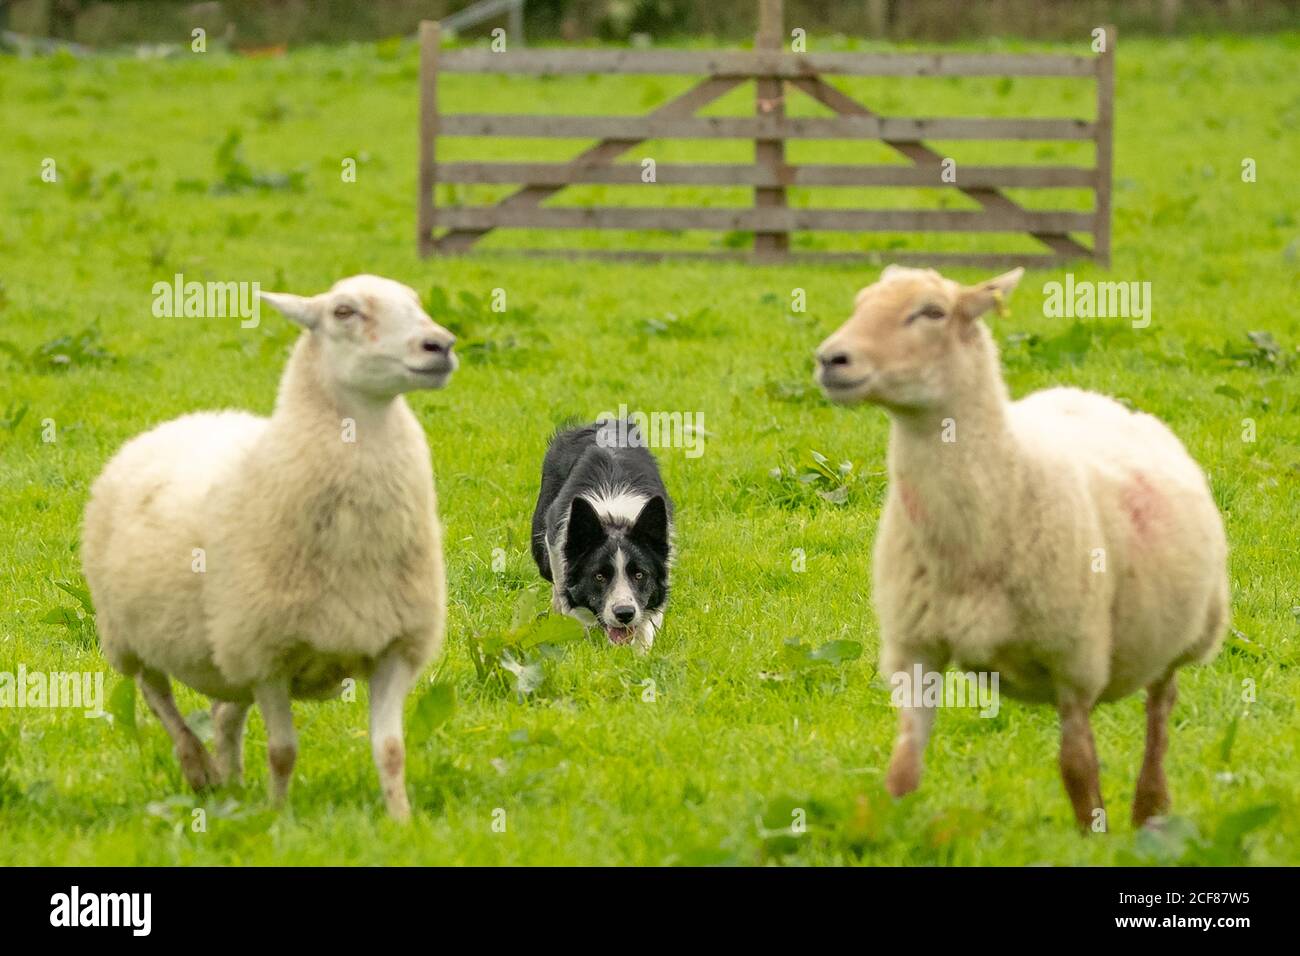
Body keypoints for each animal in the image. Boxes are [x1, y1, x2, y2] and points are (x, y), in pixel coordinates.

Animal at [81, 274, 457, 822]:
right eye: (344, 312)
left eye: (416, 303)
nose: (441, 346)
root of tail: (178, 422)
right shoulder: (266, 654)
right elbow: (283, 752)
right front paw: (279, 820)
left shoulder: (394, 646)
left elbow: (391, 750)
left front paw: (402, 823)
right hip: (130, 636)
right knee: (158, 698)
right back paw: (198, 769)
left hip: (223, 649)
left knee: (223, 712)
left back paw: (231, 783)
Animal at [811, 264, 1227, 832]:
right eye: (860, 303)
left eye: (932, 312)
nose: (831, 359)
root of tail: (1095, 397)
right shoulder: (913, 650)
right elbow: (902, 772)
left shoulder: (1074, 662)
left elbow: (1078, 773)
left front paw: (1093, 839)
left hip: (1182, 633)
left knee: (1160, 713)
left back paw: (1150, 811)